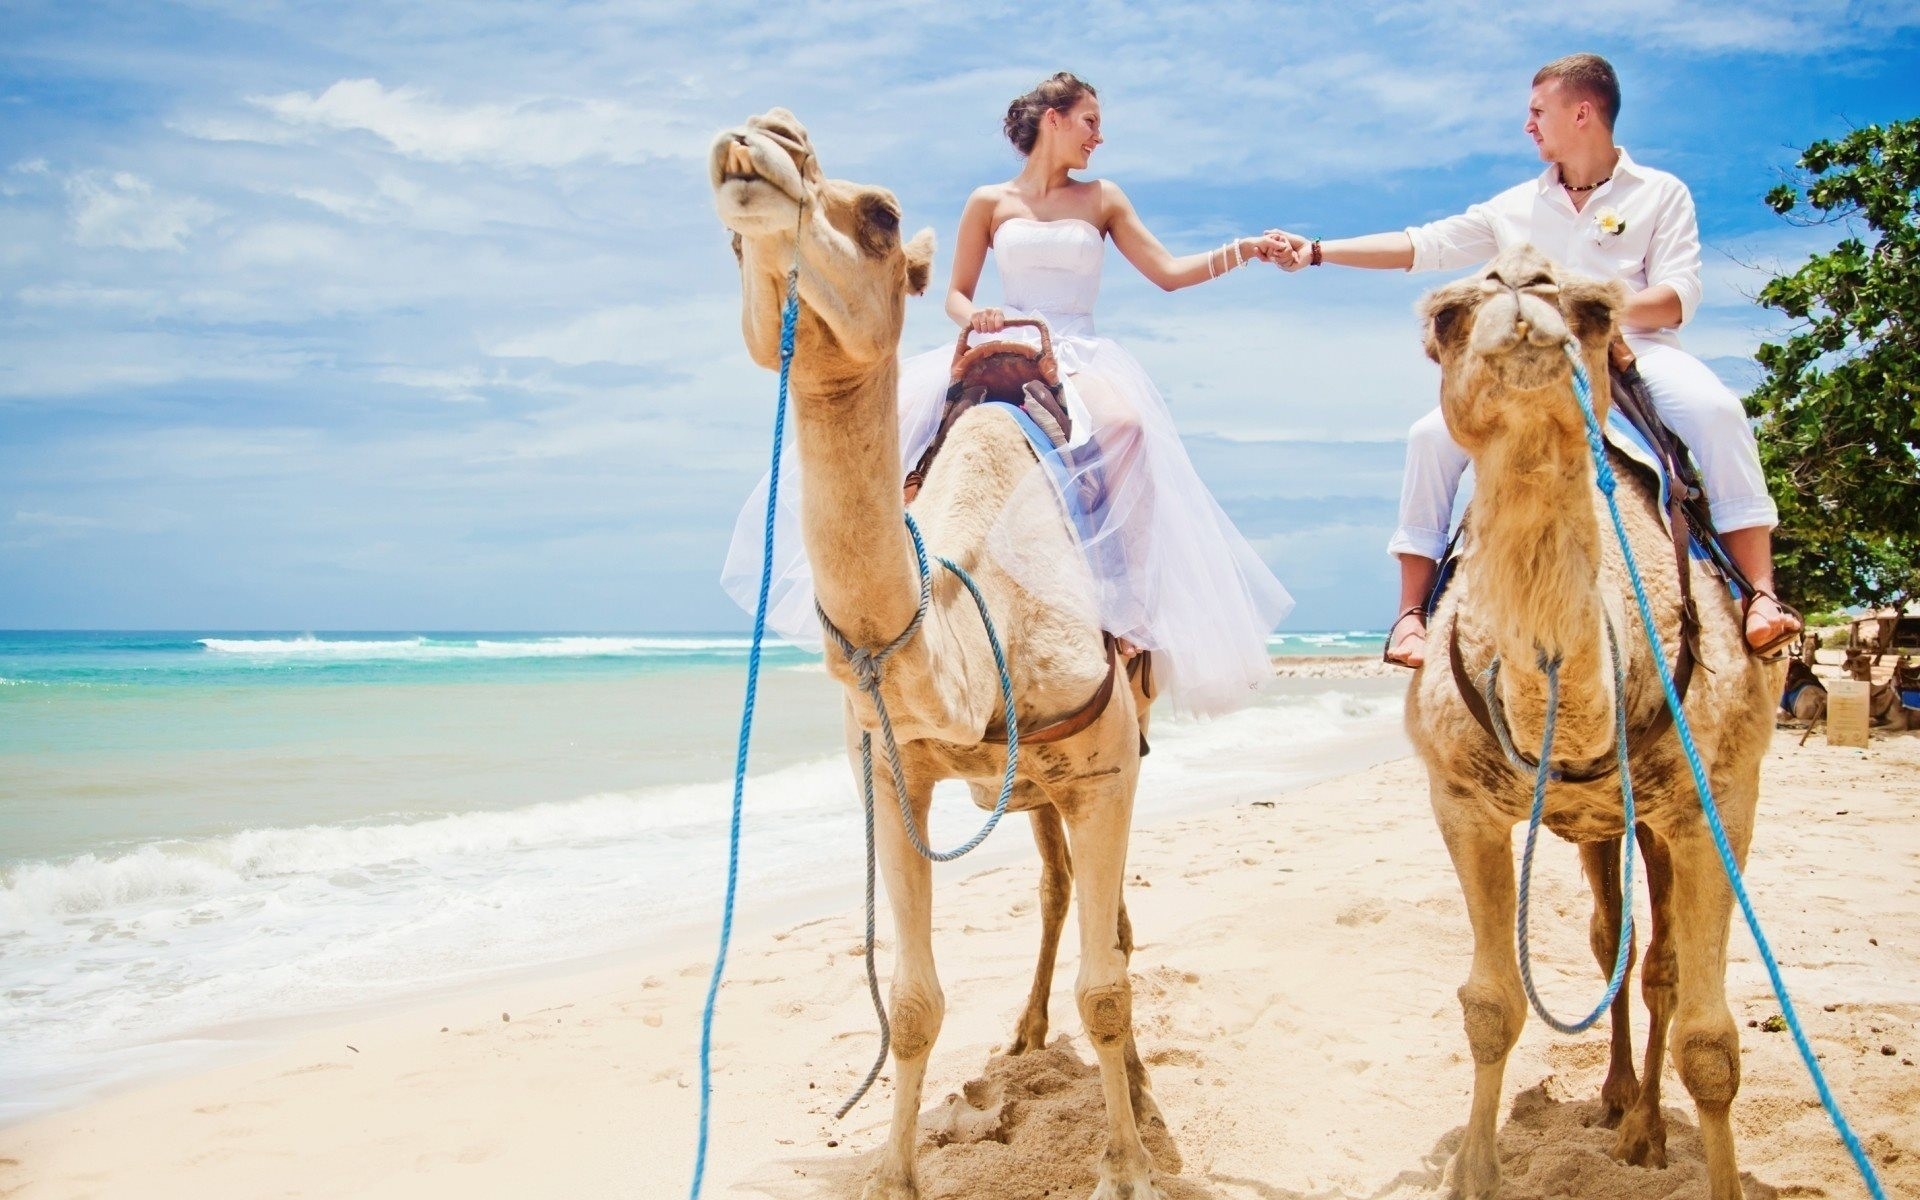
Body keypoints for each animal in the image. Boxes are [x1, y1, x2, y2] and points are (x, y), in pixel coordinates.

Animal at [709, 109, 1163, 1200]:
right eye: (726, 245)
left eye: (880, 214)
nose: (760, 135)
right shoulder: (889, 769)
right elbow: (912, 1004)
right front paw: (893, 1173)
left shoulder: (1104, 764)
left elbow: (1108, 991)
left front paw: (1128, 1164)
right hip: (1034, 787)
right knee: (1056, 888)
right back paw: (1027, 1034)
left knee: (1109, 921)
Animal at [1405, 246, 1778, 1200]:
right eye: (1447, 314)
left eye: (1598, 310)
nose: (1519, 286)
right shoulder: (1459, 803)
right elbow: (1490, 1005)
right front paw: (1474, 1170)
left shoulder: (1718, 802)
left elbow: (1712, 1042)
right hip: (1601, 828)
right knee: (1618, 937)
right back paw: (1612, 1101)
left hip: (1658, 820)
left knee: (1660, 968)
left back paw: (1642, 1131)